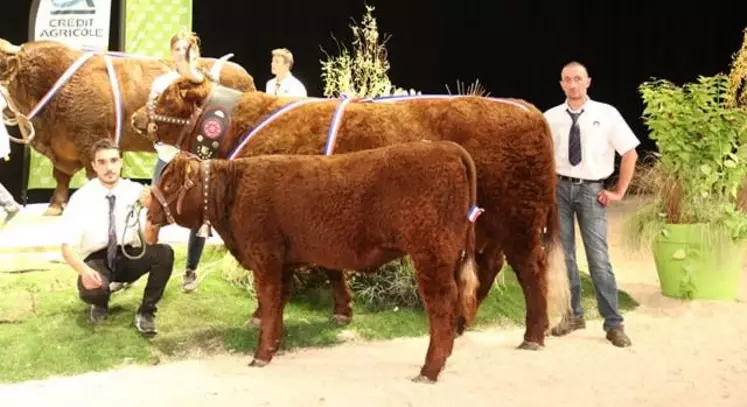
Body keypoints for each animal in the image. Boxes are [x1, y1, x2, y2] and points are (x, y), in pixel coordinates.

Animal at [131, 59, 568, 350]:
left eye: (166, 97)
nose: (135, 118)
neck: (242, 125)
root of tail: (524, 108)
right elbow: (330, 265)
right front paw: (343, 309)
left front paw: (259, 314)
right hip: (488, 226)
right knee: (490, 266)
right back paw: (463, 321)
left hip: (520, 221)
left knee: (530, 271)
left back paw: (532, 334)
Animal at [149, 139, 482, 382]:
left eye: (169, 185)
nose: (147, 209)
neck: (234, 193)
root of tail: (445, 147)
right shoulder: (282, 263)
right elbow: (277, 306)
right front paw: (273, 346)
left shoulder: (265, 258)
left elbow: (268, 302)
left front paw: (260, 356)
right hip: (448, 257)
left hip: (431, 255)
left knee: (441, 307)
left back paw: (429, 370)